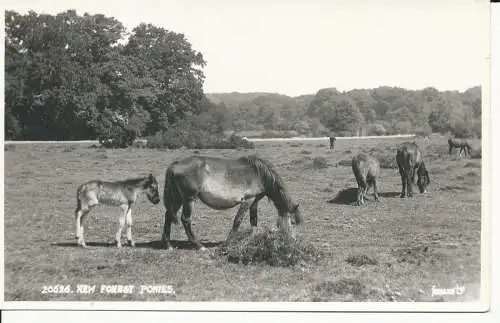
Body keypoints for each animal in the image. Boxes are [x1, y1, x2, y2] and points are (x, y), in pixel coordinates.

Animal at [161, 154, 300, 251]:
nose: (293, 240)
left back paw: (168, 245)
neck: (259, 174)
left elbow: (254, 222)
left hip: (178, 199)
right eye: (292, 222)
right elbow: (237, 221)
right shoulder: (247, 200)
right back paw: (199, 246)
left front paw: (251, 240)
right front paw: (227, 243)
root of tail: (175, 164)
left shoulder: (254, 202)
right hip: (189, 199)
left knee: (168, 215)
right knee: (185, 219)